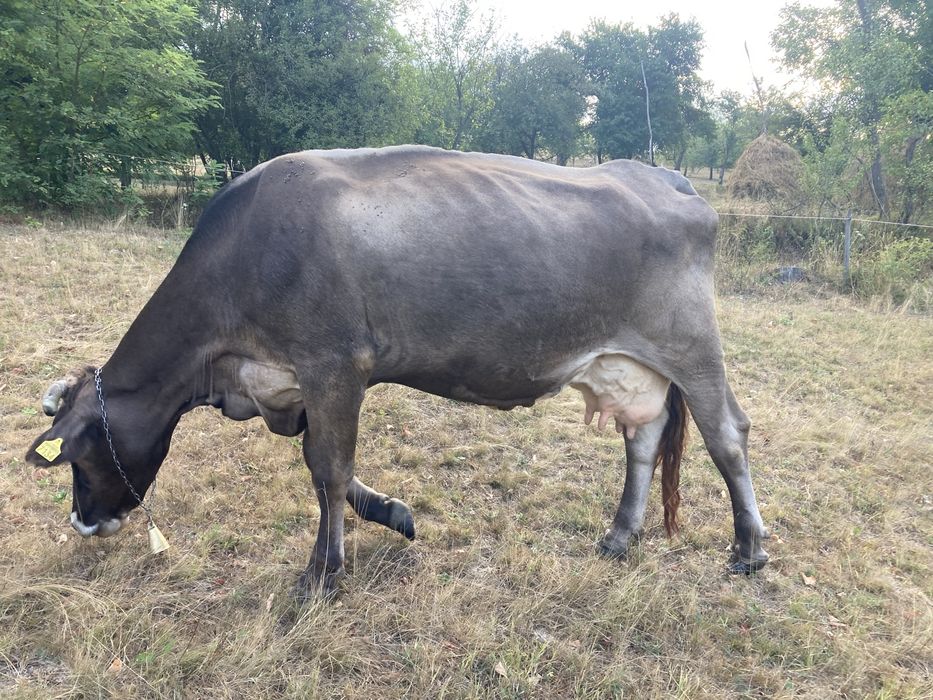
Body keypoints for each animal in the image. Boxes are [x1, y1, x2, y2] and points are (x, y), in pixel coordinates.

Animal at [26, 146, 770, 597]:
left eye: (80, 454)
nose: (83, 524)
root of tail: (662, 175)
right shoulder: (297, 384)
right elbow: (326, 462)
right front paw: (392, 514)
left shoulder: (333, 364)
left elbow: (327, 468)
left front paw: (323, 575)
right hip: (625, 363)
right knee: (642, 438)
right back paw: (619, 536)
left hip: (691, 343)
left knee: (726, 434)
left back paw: (748, 549)